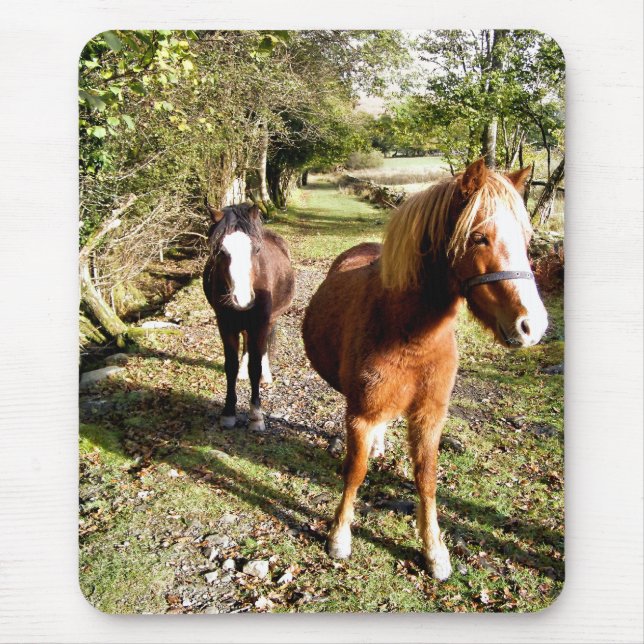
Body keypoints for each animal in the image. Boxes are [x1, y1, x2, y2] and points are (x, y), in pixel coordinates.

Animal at [203, 202, 295, 431]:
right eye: (221, 251)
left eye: (257, 250)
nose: (242, 299)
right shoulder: (225, 325)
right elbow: (230, 366)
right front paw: (228, 412)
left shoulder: (260, 325)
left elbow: (256, 365)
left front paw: (256, 416)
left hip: (269, 321)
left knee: (262, 349)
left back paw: (266, 375)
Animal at [302, 159, 548, 580]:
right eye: (479, 238)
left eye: (526, 238)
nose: (532, 326)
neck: (409, 335)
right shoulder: (361, 415)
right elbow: (355, 471)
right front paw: (339, 536)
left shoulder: (430, 416)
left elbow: (427, 478)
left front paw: (434, 550)